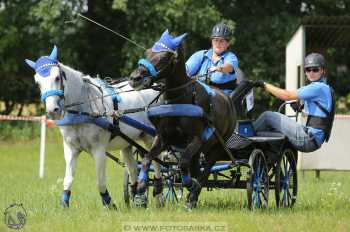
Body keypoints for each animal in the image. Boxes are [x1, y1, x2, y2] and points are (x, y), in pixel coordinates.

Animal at [25, 45, 163, 208]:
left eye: (57, 77)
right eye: (37, 82)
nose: (53, 110)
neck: (82, 110)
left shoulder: (99, 150)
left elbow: (100, 183)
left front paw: (110, 205)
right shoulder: (71, 149)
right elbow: (67, 180)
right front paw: (64, 205)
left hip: (150, 137)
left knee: (157, 162)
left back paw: (158, 195)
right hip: (127, 143)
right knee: (133, 168)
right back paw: (138, 199)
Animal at [129, 29, 238, 208]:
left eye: (164, 57)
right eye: (148, 52)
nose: (134, 78)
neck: (178, 99)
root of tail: (228, 100)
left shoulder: (196, 139)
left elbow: (183, 163)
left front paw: (189, 184)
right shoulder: (163, 138)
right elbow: (147, 159)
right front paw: (141, 185)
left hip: (216, 147)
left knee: (205, 171)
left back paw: (193, 196)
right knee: (196, 169)